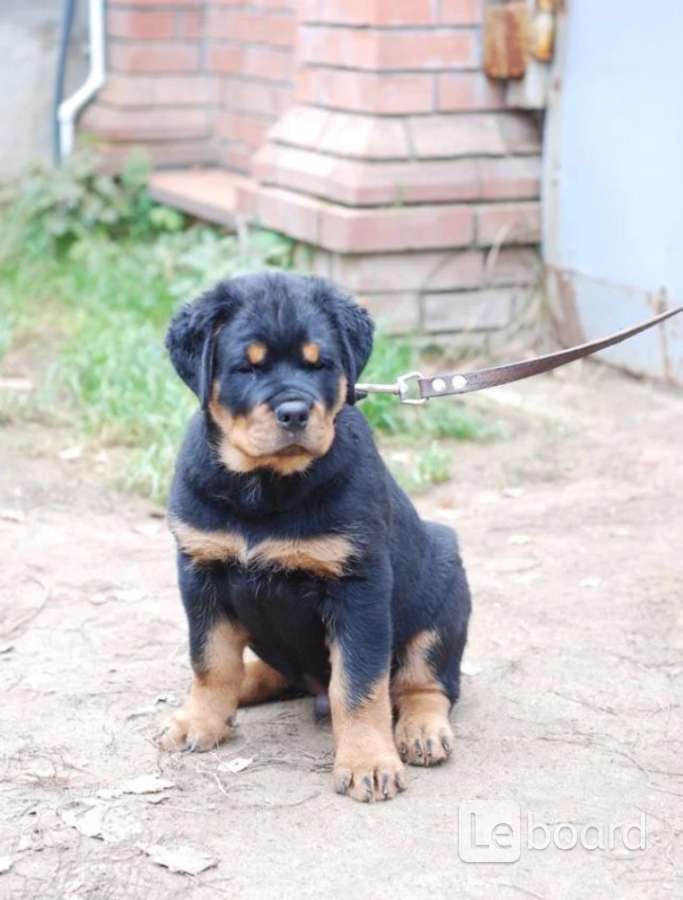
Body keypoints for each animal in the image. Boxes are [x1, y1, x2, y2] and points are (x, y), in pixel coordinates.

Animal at [160, 272, 470, 800]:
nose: (293, 412)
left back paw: (421, 730)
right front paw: (199, 721)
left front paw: (368, 762)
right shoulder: (200, 571)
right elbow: (211, 660)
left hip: (445, 590)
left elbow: (359, 684)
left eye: (319, 364)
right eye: (247, 367)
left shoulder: (359, 586)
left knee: (426, 683)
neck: (263, 489)